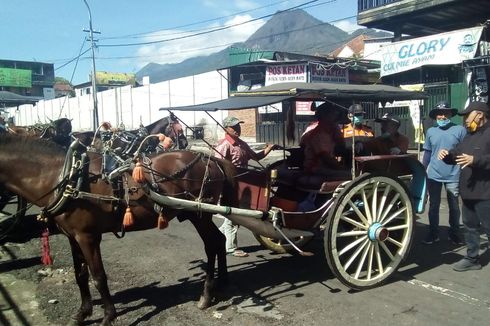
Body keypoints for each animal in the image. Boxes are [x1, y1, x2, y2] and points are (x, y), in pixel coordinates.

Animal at [0, 134, 237, 324]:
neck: (68, 177)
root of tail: (211, 159)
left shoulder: (88, 237)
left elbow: (98, 276)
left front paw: (108, 316)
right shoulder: (72, 236)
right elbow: (80, 275)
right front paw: (83, 312)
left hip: (200, 215)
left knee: (212, 244)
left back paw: (207, 294)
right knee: (219, 241)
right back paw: (223, 281)